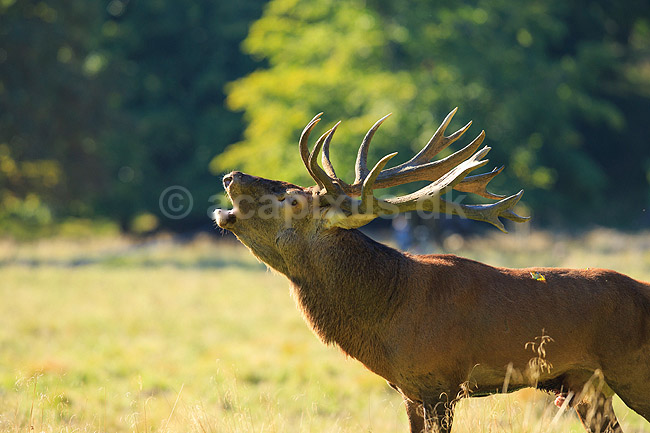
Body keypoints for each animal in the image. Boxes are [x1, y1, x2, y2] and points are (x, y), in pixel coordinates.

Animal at [212, 109, 650, 433]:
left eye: (292, 199)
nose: (232, 175)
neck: (387, 316)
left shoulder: (440, 382)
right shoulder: (409, 390)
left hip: (632, 371)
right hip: (586, 384)